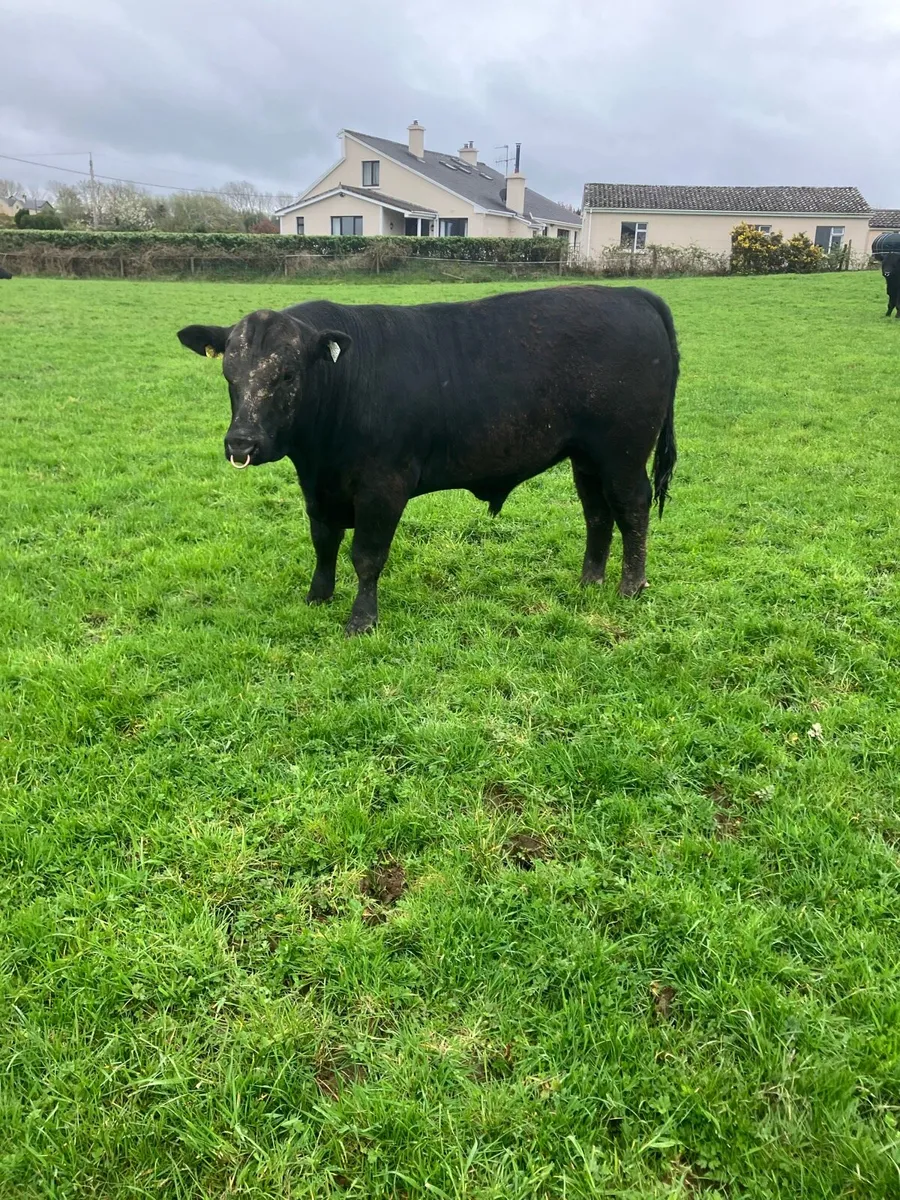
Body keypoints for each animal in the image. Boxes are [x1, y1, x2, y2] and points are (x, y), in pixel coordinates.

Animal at [176, 285, 679, 636]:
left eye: (287, 374)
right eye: (229, 374)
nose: (242, 444)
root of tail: (631, 294)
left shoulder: (383, 487)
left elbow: (367, 556)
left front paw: (362, 620)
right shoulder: (320, 489)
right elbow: (324, 542)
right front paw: (317, 596)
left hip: (624, 453)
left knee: (632, 509)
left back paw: (630, 586)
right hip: (587, 457)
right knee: (597, 514)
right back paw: (589, 580)